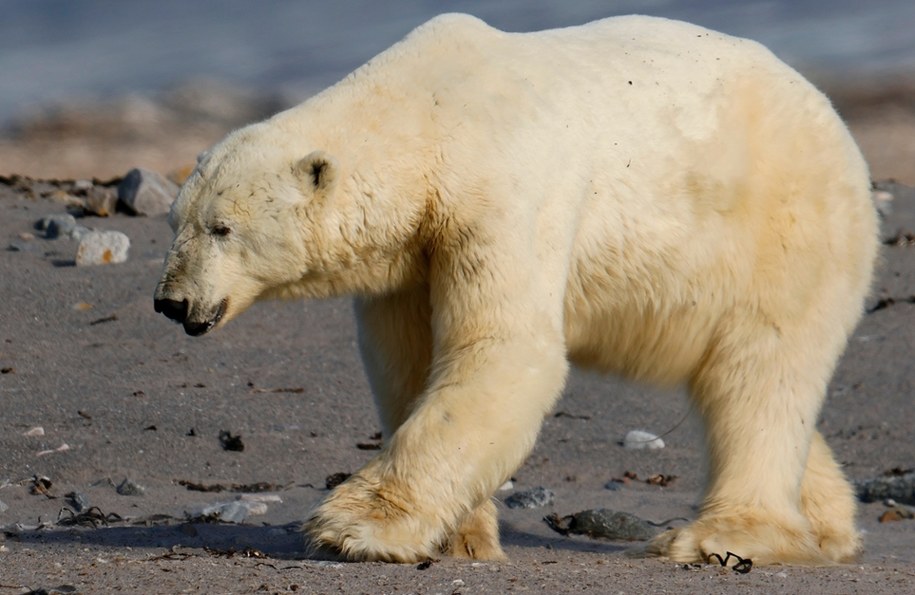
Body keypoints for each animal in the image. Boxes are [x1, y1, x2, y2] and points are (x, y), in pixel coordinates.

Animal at [154, 11, 876, 564]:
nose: (170, 300)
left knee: (758, 374)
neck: (432, 112)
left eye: (222, 227)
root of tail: (835, 123)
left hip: (781, 229)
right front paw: (460, 537)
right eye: (176, 221)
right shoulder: (412, 257)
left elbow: (503, 349)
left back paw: (720, 536)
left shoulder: (501, 194)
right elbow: (409, 366)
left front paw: (353, 526)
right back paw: (828, 526)